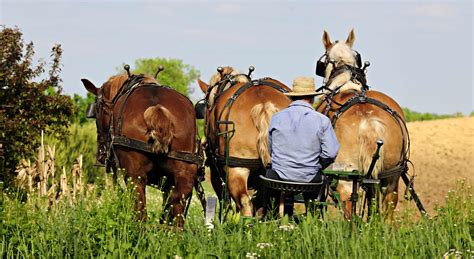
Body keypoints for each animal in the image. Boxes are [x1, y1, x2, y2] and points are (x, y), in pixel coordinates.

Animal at [81, 71, 204, 228]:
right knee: (176, 211)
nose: (101, 155)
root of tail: (157, 109)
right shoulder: (168, 183)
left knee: (141, 214)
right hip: (184, 174)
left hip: (135, 178)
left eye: (97, 110)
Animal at [195, 67, 290, 217]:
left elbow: (224, 200)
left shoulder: (216, 173)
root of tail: (264, 104)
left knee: (244, 202)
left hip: (236, 170)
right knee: (277, 201)